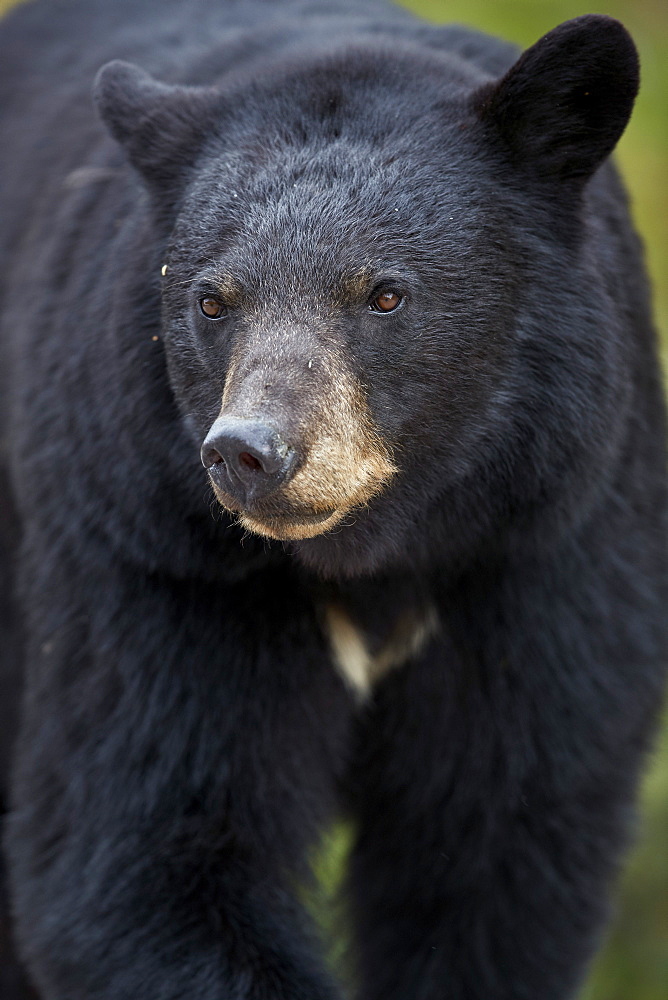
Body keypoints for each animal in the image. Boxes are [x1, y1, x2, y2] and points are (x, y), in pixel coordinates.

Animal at [1, 0, 668, 996]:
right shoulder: (153, 546)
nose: (250, 452)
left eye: (385, 295)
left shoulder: (549, 545)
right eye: (211, 300)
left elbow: (500, 843)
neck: (379, 553)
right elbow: (145, 843)